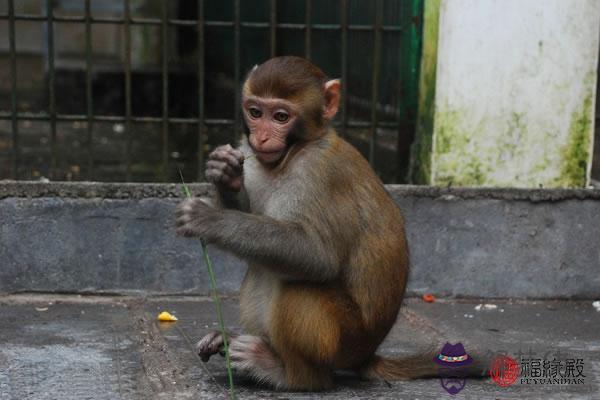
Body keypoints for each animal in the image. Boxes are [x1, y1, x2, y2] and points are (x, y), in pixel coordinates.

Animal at [175, 56, 482, 390]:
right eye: (255, 112)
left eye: (281, 116)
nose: (261, 137)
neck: (295, 152)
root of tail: (367, 354)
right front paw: (225, 172)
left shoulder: (319, 173)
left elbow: (317, 256)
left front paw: (209, 219)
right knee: (261, 265)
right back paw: (232, 341)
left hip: (344, 340)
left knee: (299, 287)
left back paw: (286, 373)